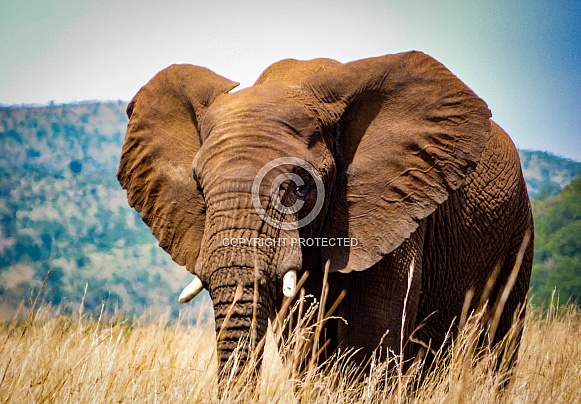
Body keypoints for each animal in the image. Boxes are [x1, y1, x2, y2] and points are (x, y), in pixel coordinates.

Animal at [118, 51, 536, 376]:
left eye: (299, 187)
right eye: (199, 186)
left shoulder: (397, 203)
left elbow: (371, 336)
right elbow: (305, 340)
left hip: (517, 239)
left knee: (497, 346)